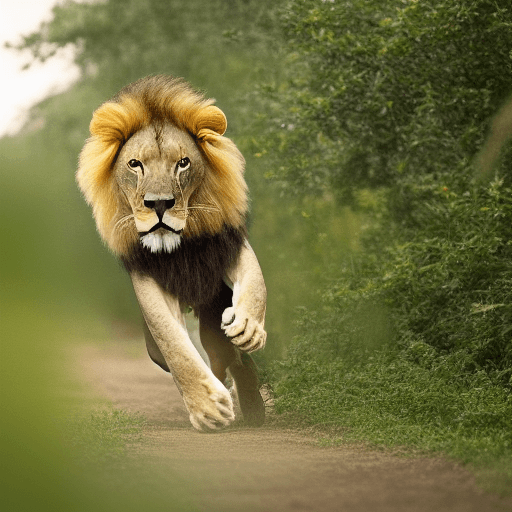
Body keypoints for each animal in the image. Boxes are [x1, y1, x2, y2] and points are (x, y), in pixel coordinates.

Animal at [78, 74, 268, 430]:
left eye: (183, 163)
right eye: (135, 164)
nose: (159, 204)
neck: (177, 247)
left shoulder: (228, 244)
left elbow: (256, 283)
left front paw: (249, 328)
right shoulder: (147, 275)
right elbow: (172, 343)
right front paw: (207, 408)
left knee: (229, 356)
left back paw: (252, 404)